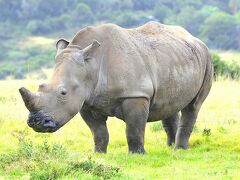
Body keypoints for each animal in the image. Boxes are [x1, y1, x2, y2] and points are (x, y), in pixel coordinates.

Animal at [19, 21, 213, 153]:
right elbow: (98, 132)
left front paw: (137, 155)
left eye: (63, 92)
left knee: (193, 106)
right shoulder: (86, 100)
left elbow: (133, 129)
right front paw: (98, 155)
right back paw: (170, 148)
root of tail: (195, 39)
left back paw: (179, 150)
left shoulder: (136, 94)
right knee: (169, 104)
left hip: (207, 59)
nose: (36, 122)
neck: (92, 64)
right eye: (41, 86)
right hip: (175, 59)